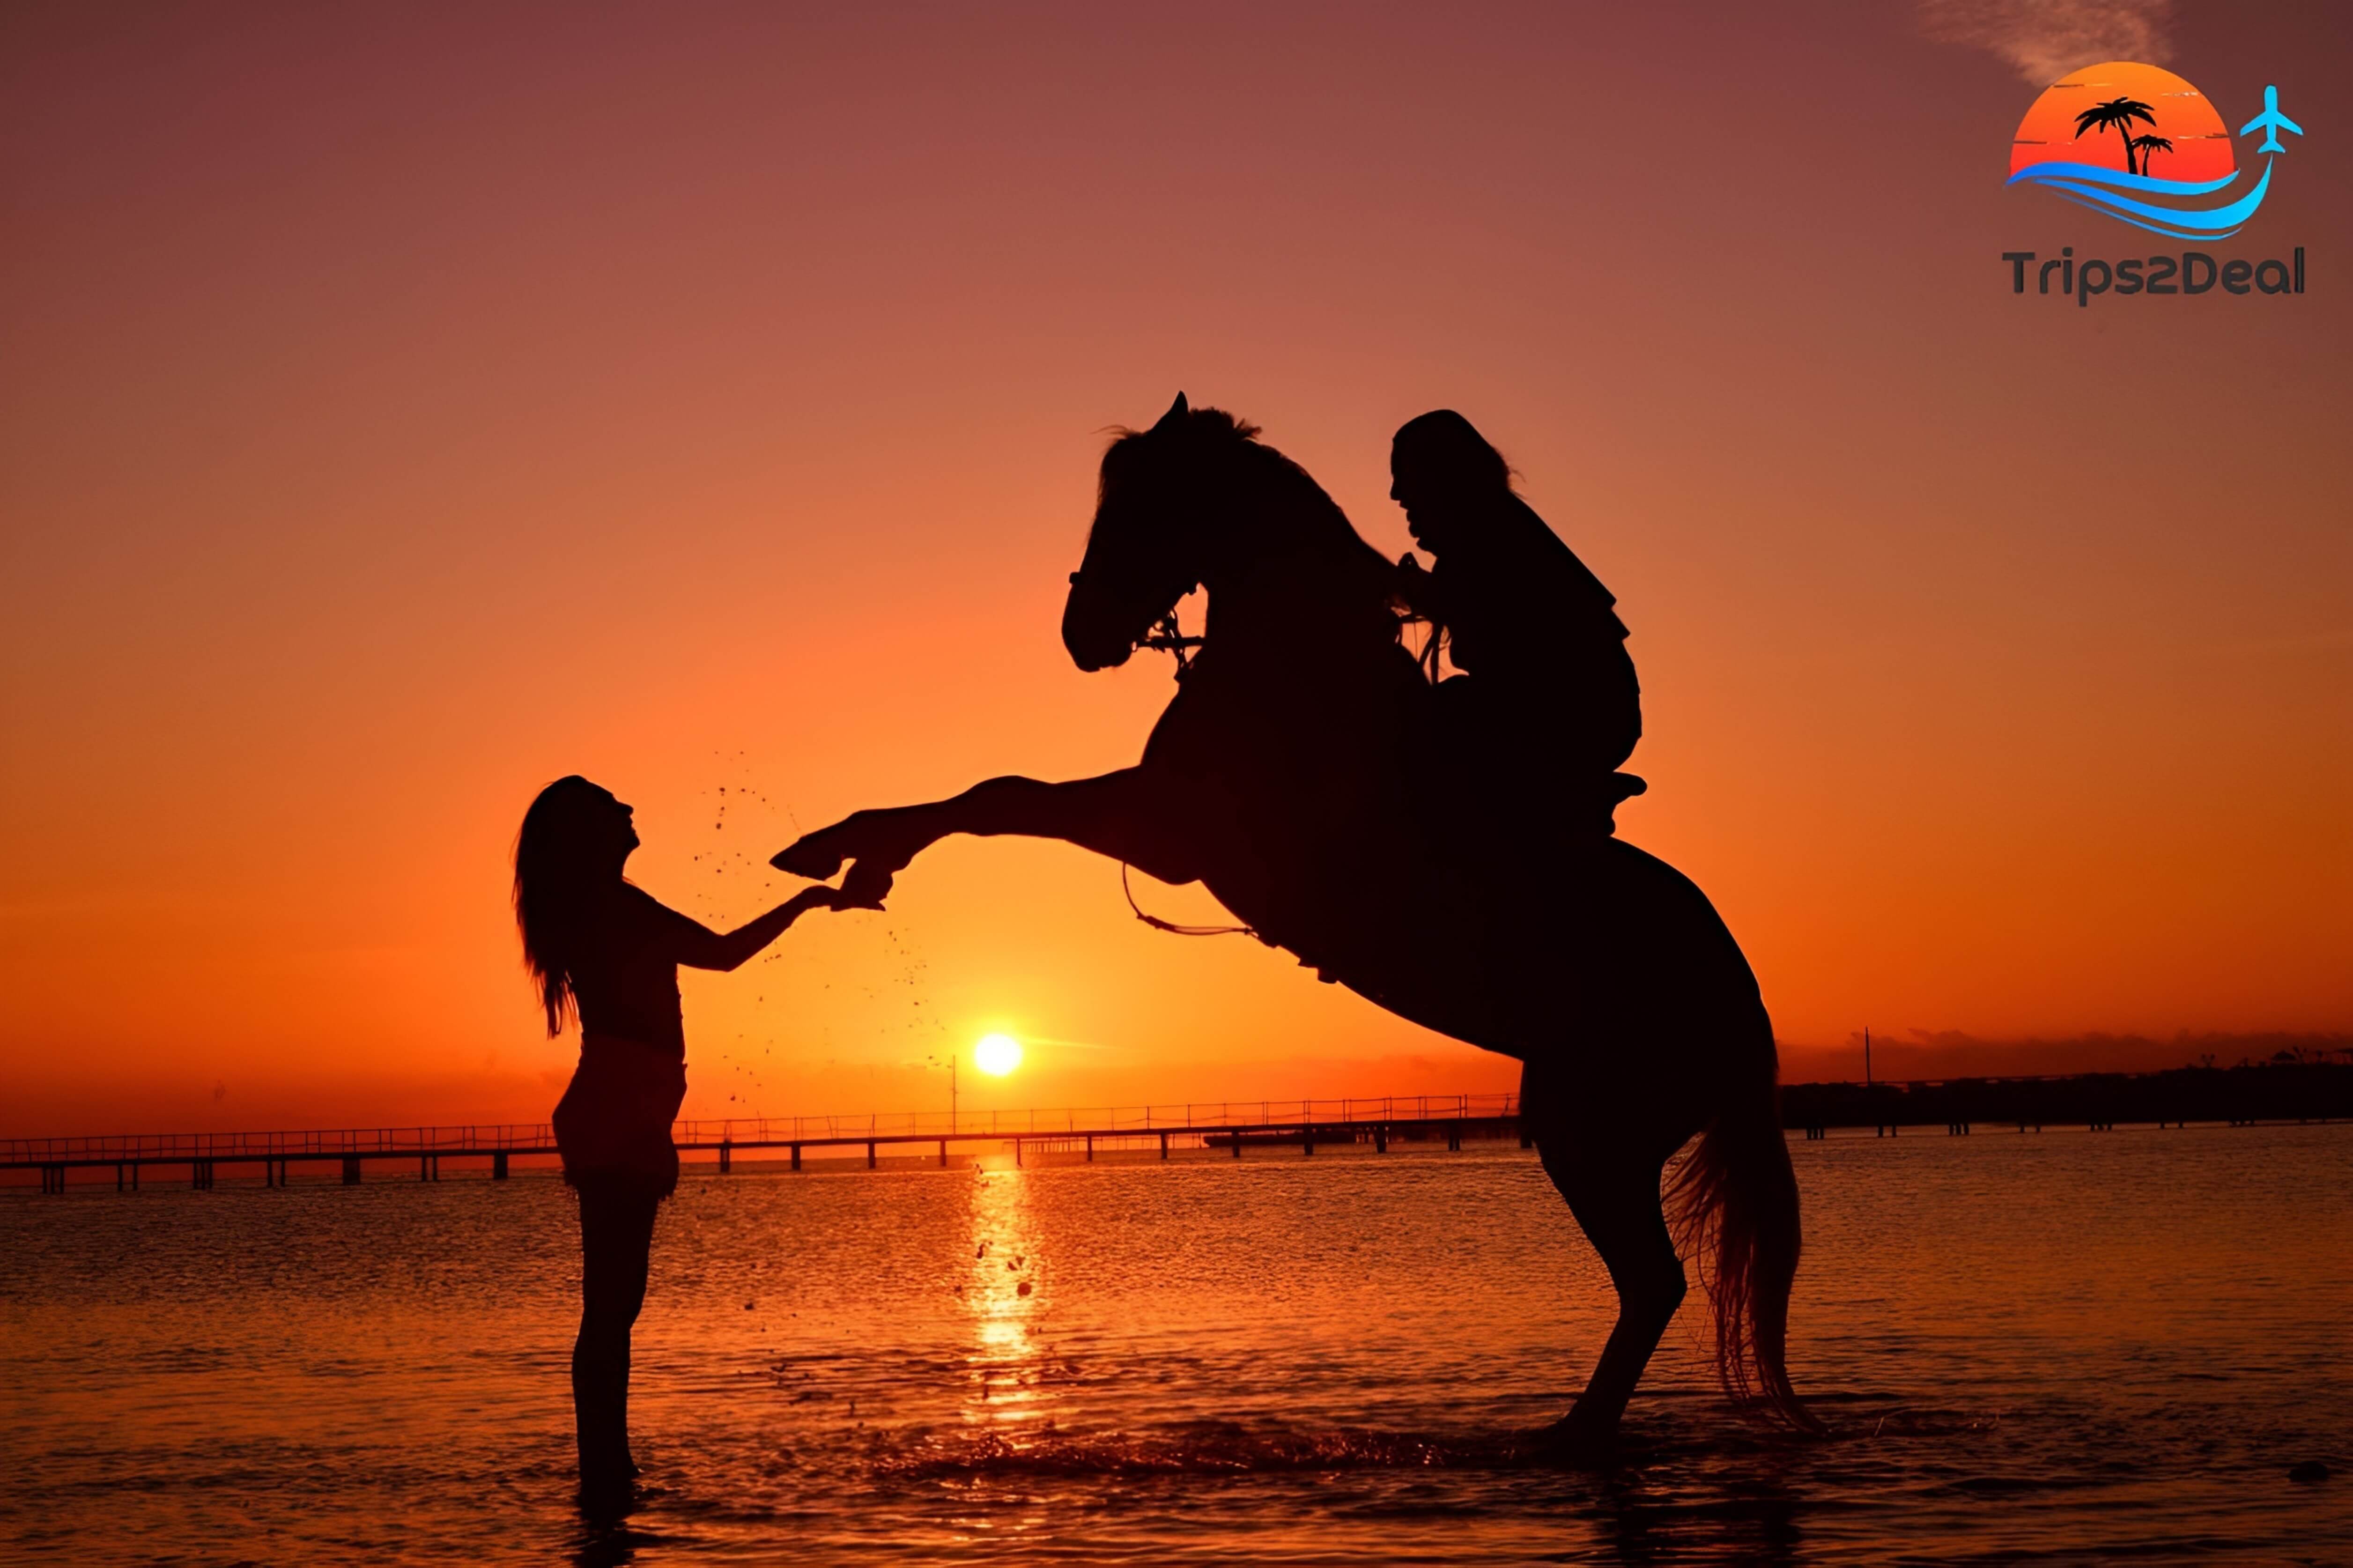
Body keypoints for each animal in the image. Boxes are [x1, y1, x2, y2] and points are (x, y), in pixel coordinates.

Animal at [781, 391, 1807, 1441]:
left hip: (1587, 1127)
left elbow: (997, 796)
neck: (1289, 660)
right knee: (1649, 1285)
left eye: (1141, 506)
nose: (1080, 630)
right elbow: (995, 795)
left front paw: (845, 850)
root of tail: (1742, 1004)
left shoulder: (1166, 830)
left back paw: (1571, 1437)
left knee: (1650, 1282)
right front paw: (846, 855)